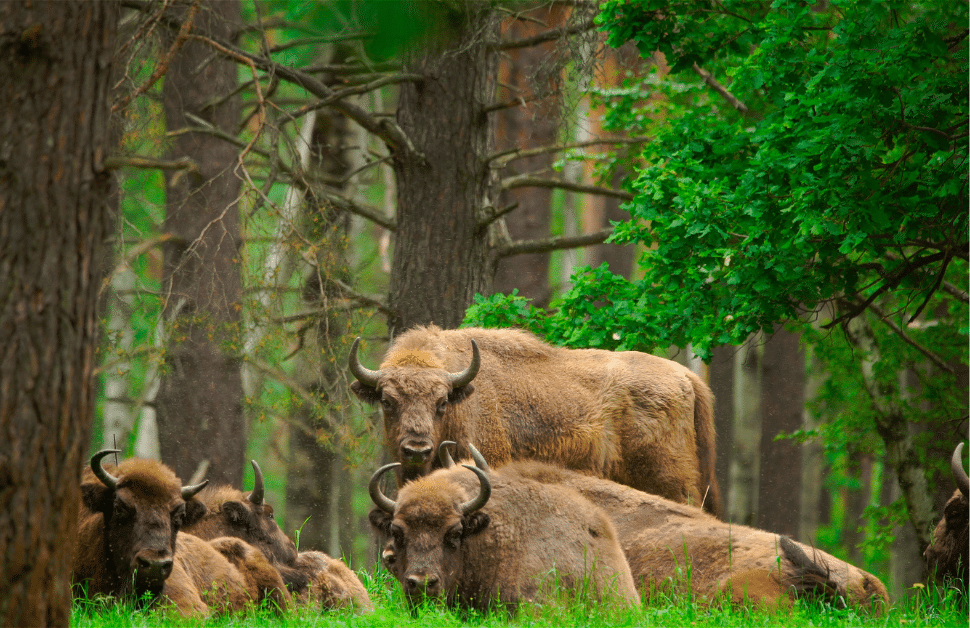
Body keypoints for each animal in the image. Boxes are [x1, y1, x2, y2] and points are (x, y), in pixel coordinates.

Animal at [350, 325, 720, 515]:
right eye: (387, 401)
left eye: (441, 402)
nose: (416, 449)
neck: (463, 395)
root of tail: (687, 377)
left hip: (670, 479)